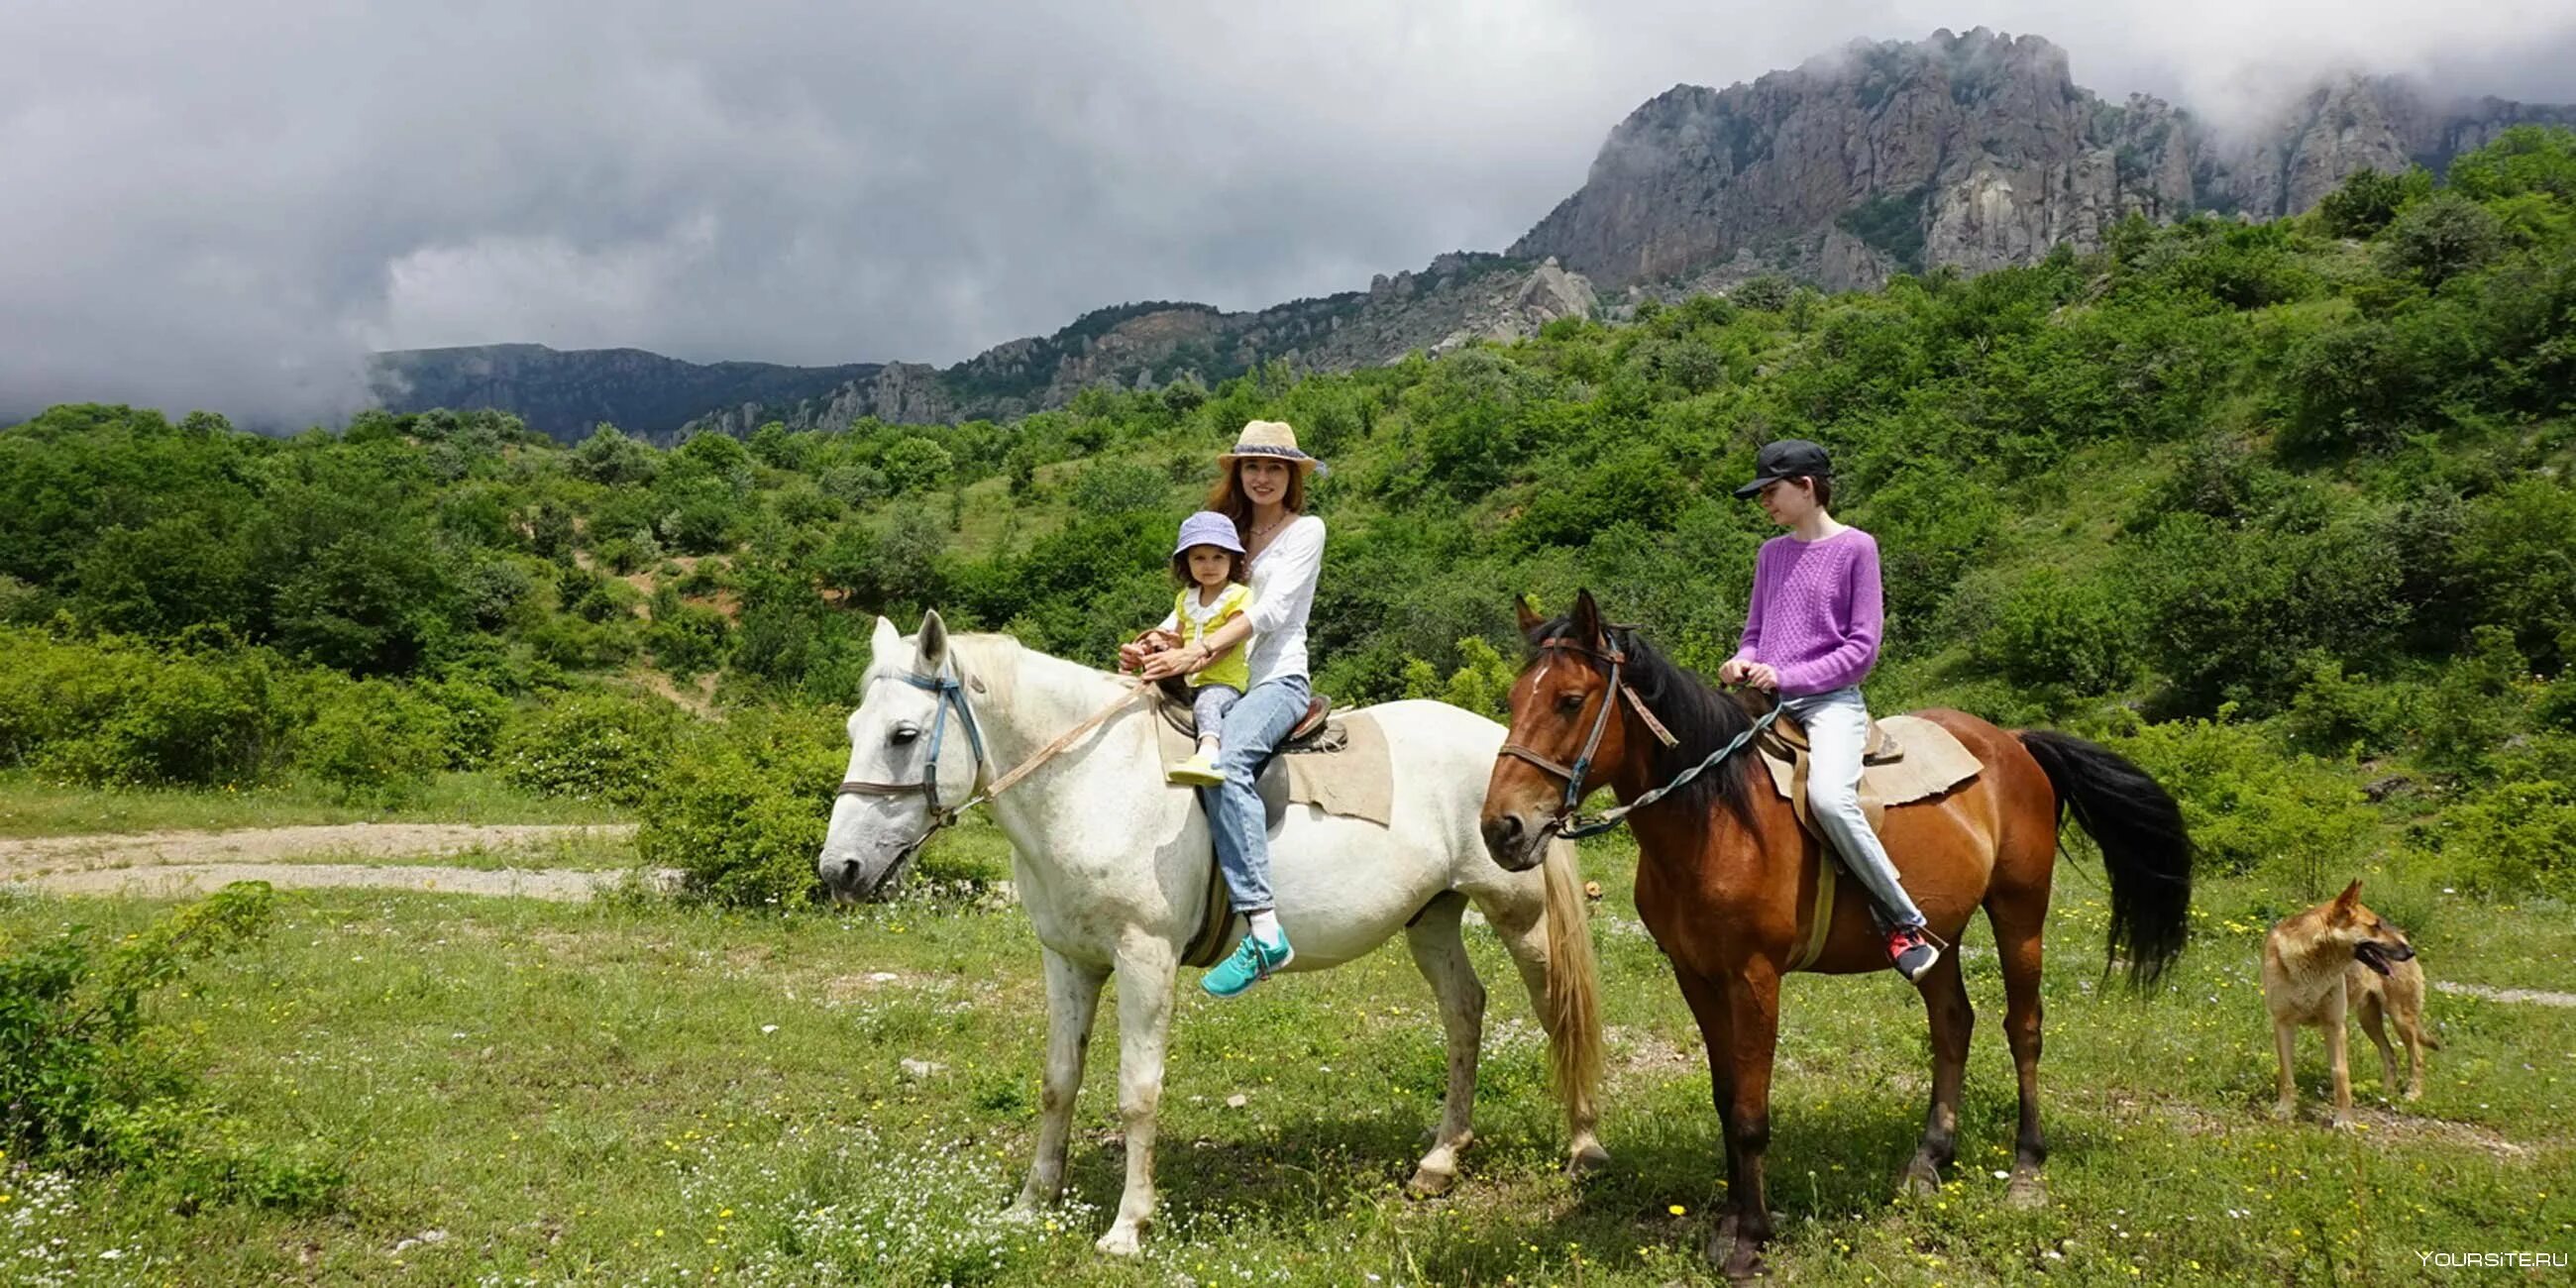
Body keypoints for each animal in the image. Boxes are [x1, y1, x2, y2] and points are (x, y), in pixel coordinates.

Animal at [813, 612, 1597, 1256]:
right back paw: (1438, 1163)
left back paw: (1585, 1149)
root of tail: (1502, 746)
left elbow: (1138, 1092)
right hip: (1431, 918)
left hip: (1518, 914)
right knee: (1465, 1010)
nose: (839, 869)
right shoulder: (1068, 960)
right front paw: (1033, 1204)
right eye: (854, 732)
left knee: (1555, 1011)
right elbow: (1058, 1082)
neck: (1094, 783)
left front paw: (1127, 1228)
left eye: (903, 735)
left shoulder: (1144, 958)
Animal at [1483, 590, 2184, 1277]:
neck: (1718, 818)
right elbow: (1725, 1097)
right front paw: (1730, 1224)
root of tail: (2012, 742)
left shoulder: (1754, 977)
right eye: (1514, 701)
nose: (1502, 829)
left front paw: (1750, 1242)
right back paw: (1929, 1160)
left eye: (1570, 700)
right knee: (1953, 1023)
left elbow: (1751, 1114)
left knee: (2025, 1030)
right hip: (1941, 933)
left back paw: (2027, 1170)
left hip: (2020, 912)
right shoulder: (1696, 975)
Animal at [2267, 881, 2421, 1123]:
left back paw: (2413, 1093)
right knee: (2390, 1054)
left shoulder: (2335, 1026)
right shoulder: (2283, 1024)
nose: (2410, 952)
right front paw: (2285, 1109)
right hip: (2369, 1022)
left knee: (2416, 1054)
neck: (2312, 963)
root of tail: (2403, 935)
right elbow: (2287, 1073)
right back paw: (2386, 1093)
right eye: (2375, 926)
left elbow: (2340, 1074)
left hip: (2401, 1019)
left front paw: (2344, 1120)